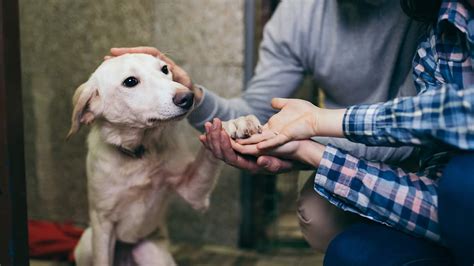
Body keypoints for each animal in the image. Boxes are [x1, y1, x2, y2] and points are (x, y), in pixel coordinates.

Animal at [68, 53, 262, 264]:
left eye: (164, 69)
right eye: (130, 81)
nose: (188, 97)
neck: (139, 153)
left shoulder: (194, 192)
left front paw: (234, 124)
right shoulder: (103, 223)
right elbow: (102, 257)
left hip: (153, 253)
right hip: (88, 241)